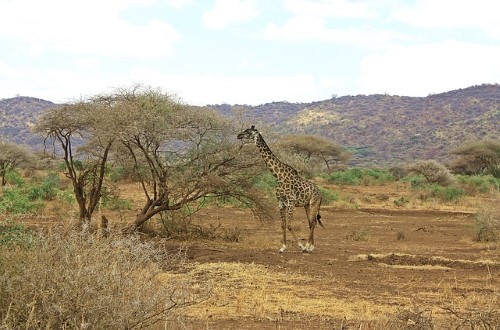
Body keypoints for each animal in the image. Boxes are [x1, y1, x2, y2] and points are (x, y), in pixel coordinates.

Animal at [238, 125, 324, 253]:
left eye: (248, 132)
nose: (238, 135)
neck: (278, 176)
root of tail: (320, 193)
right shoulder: (280, 202)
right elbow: (283, 225)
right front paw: (283, 247)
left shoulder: (291, 202)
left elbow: (289, 225)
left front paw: (301, 246)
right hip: (306, 205)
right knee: (311, 222)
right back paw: (311, 246)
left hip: (314, 203)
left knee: (313, 223)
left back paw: (308, 247)